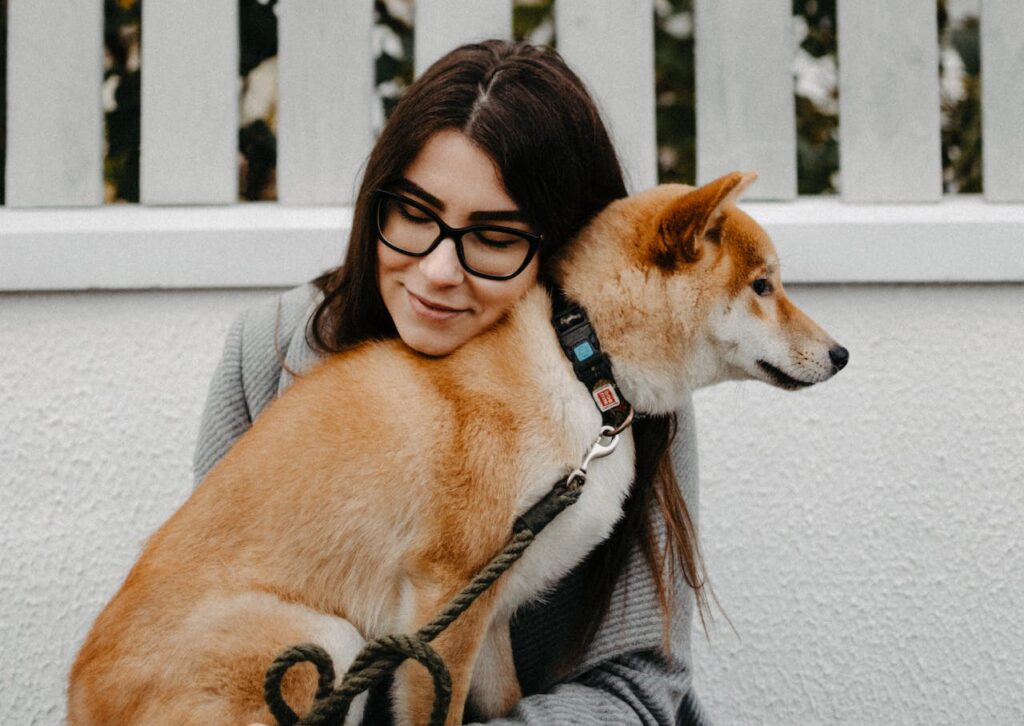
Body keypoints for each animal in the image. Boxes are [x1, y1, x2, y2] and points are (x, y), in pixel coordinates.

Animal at [66, 171, 847, 724]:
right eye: (764, 286)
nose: (842, 354)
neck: (580, 362)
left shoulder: (490, 608)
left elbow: (502, 704)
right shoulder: (443, 606)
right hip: (320, 637)